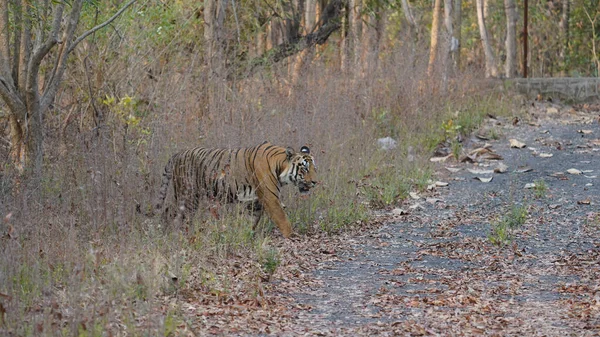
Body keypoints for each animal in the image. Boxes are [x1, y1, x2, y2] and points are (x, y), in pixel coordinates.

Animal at [150, 140, 318, 238]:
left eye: (314, 168)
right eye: (304, 169)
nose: (315, 182)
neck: (280, 166)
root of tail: (177, 154)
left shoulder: (255, 202)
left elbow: (251, 220)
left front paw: (245, 234)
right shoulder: (271, 198)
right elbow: (283, 219)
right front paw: (292, 236)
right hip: (188, 195)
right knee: (172, 213)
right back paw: (171, 233)